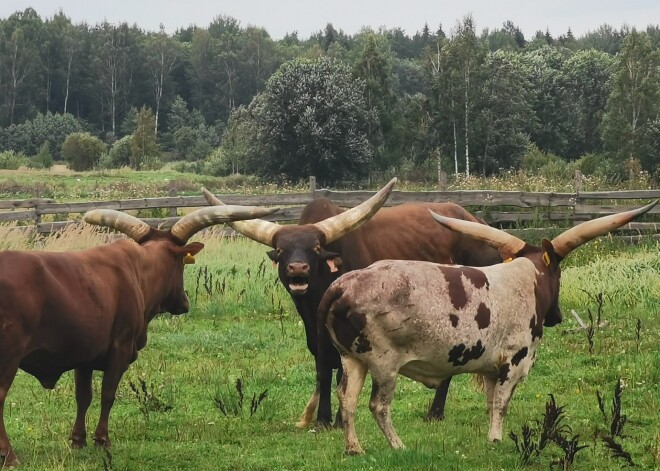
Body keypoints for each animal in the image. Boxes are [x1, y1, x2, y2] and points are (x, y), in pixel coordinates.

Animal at [0, 201, 278, 466]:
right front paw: (102, 439)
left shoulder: (85, 356)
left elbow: (84, 397)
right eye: (181, 264)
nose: (184, 303)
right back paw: (10, 456)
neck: (138, 271)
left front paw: (78, 440)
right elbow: (108, 394)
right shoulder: (120, 349)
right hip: (8, 358)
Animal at [201, 179, 500, 430]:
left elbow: (341, 371)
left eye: (315, 249)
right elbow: (323, 368)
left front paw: (335, 418)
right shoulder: (314, 329)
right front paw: (323, 419)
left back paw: (435, 412)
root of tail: (475, 220)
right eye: (282, 250)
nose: (298, 268)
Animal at [318, 201, 656, 456]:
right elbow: (502, 404)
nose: (557, 316)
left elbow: (491, 402)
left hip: (353, 360)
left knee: (346, 400)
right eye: (559, 273)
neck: (526, 278)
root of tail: (341, 286)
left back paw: (354, 448)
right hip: (383, 363)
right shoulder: (513, 362)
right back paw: (398, 445)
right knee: (378, 405)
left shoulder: (492, 369)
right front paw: (495, 439)